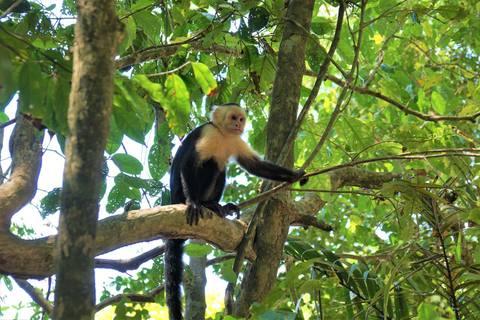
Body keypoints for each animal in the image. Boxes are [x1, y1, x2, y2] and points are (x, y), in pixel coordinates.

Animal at [164, 103, 308, 320]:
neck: (224, 135)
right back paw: (205, 204)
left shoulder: (236, 140)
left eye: (241, 119)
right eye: (233, 117)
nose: (238, 125)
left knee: (220, 167)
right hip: (179, 193)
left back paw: (218, 207)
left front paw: (294, 175)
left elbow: (256, 166)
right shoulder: (208, 133)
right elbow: (189, 164)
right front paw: (194, 203)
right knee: (211, 162)